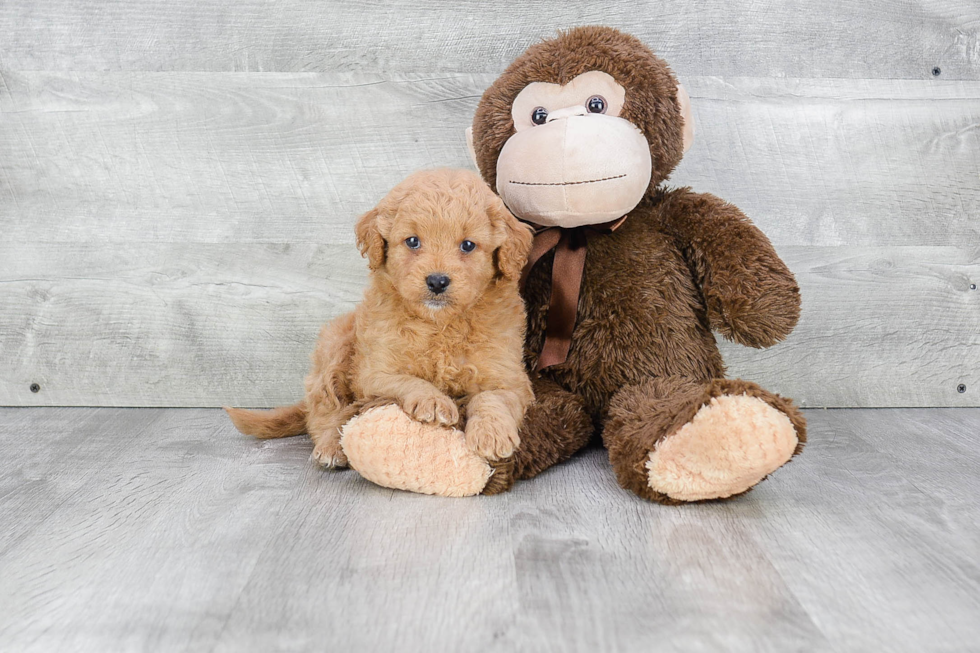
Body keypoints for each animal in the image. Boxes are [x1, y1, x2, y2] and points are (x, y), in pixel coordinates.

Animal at [228, 169, 536, 468]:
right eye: (413, 241)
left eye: (468, 245)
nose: (437, 281)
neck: (439, 324)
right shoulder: (373, 372)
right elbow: (406, 380)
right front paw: (434, 401)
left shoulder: (509, 376)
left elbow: (492, 397)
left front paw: (492, 434)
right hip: (335, 346)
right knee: (326, 413)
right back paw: (331, 448)